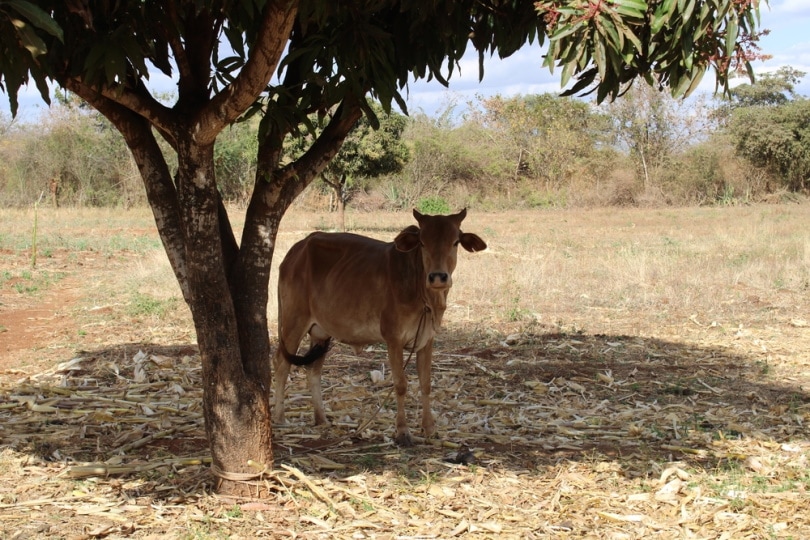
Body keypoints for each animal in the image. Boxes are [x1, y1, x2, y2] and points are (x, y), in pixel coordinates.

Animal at [272, 209, 486, 446]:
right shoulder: (393, 339)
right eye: (422, 242)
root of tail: (295, 251)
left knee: (313, 370)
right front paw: (402, 431)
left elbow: (426, 383)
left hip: (320, 333)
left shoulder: (426, 341)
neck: (422, 293)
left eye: (455, 241)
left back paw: (322, 419)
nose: (438, 277)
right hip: (293, 322)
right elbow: (400, 384)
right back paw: (280, 417)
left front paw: (429, 428)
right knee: (282, 363)